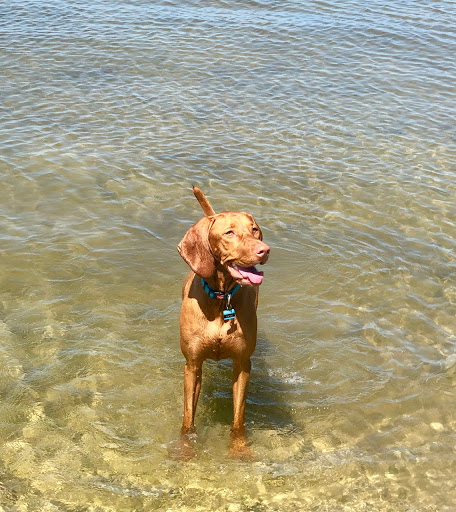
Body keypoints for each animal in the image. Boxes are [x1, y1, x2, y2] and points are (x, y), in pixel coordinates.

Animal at [177, 186, 270, 454]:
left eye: (254, 229)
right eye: (229, 232)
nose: (264, 250)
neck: (221, 299)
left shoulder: (242, 364)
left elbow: (238, 419)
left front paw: (238, 448)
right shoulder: (192, 365)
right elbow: (188, 418)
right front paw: (185, 448)